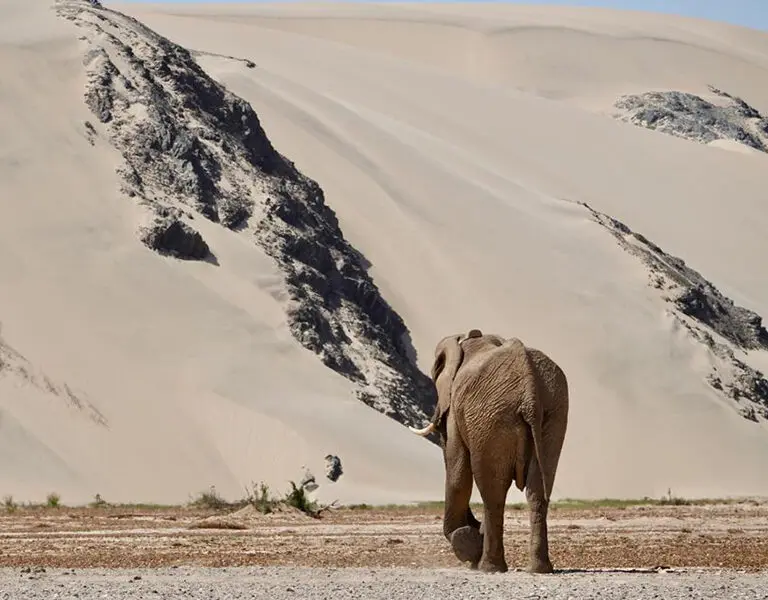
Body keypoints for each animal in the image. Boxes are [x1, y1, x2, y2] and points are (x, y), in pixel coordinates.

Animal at [409, 329, 569, 574]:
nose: (475, 526)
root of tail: (530, 392)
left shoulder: (456, 410)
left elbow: (458, 473)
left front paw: (467, 544)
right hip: (553, 413)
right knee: (537, 491)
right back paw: (539, 569)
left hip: (491, 417)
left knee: (492, 491)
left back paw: (488, 567)